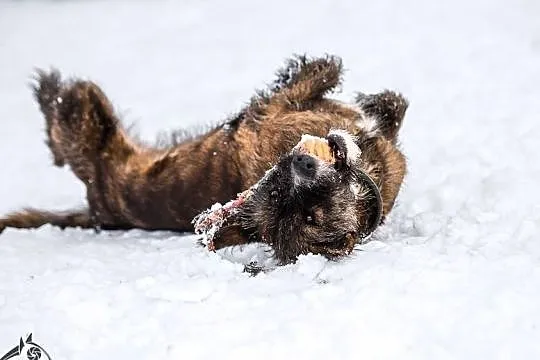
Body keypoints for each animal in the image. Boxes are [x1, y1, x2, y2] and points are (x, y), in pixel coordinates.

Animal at [0, 55, 408, 264]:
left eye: (311, 214)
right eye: (279, 195)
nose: (300, 165)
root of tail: (101, 212)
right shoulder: (278, 109)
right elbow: (324, 77)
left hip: (89, 119)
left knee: (59, 121)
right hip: (88, 112)